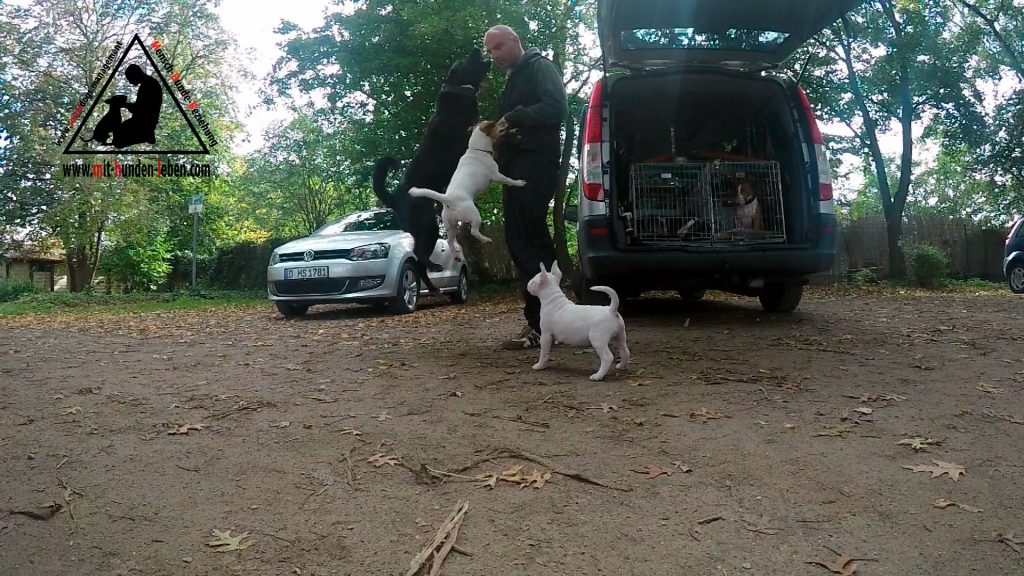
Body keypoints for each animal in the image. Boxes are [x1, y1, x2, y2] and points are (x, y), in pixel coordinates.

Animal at [372, 45, 491, 291]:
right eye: (463, 62)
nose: (476, 48)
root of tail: (395, 197)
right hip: (428, 226)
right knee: (418, 255)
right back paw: (435, 267)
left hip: (428, 230)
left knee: (419, 264)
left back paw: (434, 285)